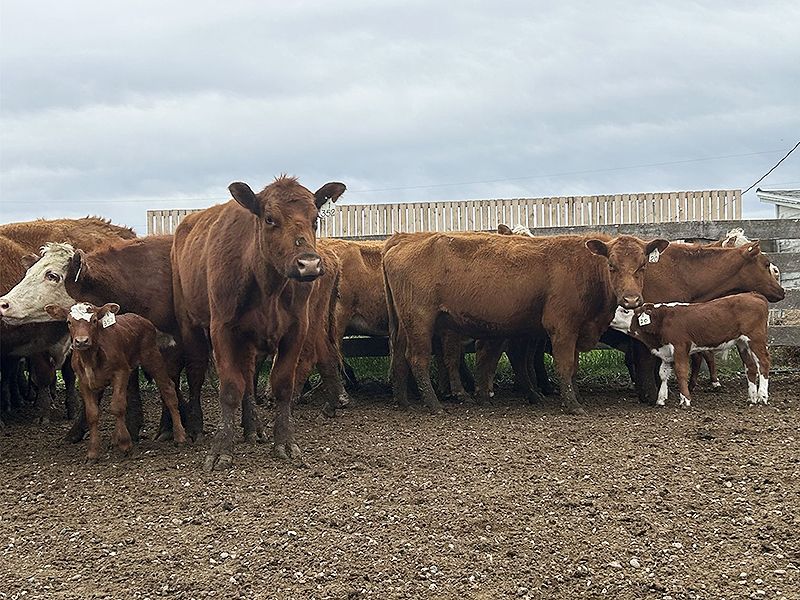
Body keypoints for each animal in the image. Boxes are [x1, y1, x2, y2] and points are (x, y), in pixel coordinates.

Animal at [45, 302, 186, 461]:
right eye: (69, 322)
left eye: (94, 320)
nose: (81, 341)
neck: (90, 358)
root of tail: (139, 317)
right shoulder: (83, 381)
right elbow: (92, 413)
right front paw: (92, 453)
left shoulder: (121, 372)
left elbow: (117, 407)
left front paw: (125, 445)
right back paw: (114, 439)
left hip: (152, 357)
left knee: (168, 390)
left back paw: (179, 436)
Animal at [172, 175, 346, 471]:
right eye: (270, 218)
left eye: (315, 219)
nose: (309, 264)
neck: (269, 287)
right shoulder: (222, 330)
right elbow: (230, 387)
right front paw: (221, 448)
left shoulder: (296, 330)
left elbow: (283, 385)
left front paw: (284, 441)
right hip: (191, 324)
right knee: (198, 373)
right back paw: (197, 426)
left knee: (248, 375)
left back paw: (253, 426)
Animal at [382, 231, 670, 415]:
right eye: (611, 265)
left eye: (643, 266)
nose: (631, 299)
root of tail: (399, 243)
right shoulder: (562, 327)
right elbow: (564, 366)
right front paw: (573, 405)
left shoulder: (576, 330)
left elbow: (573, 368)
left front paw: (573, 396)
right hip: (420, 320)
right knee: (417, 359)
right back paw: (434, 405)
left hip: (405, 325)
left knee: (400, 357)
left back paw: (404, 401)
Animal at [609, 293, 770, 407]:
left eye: (624, 311)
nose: (609, 318)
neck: (662, 320)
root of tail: (754, 295)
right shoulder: (666, 352)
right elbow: (663, 374)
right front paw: (661, 399)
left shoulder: (680, 347)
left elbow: (681, 372)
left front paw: (685, 400)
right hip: (742, 343)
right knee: (750, 367)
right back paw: (752, 398)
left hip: (755, 339)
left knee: (763, 363)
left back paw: (762, 396)